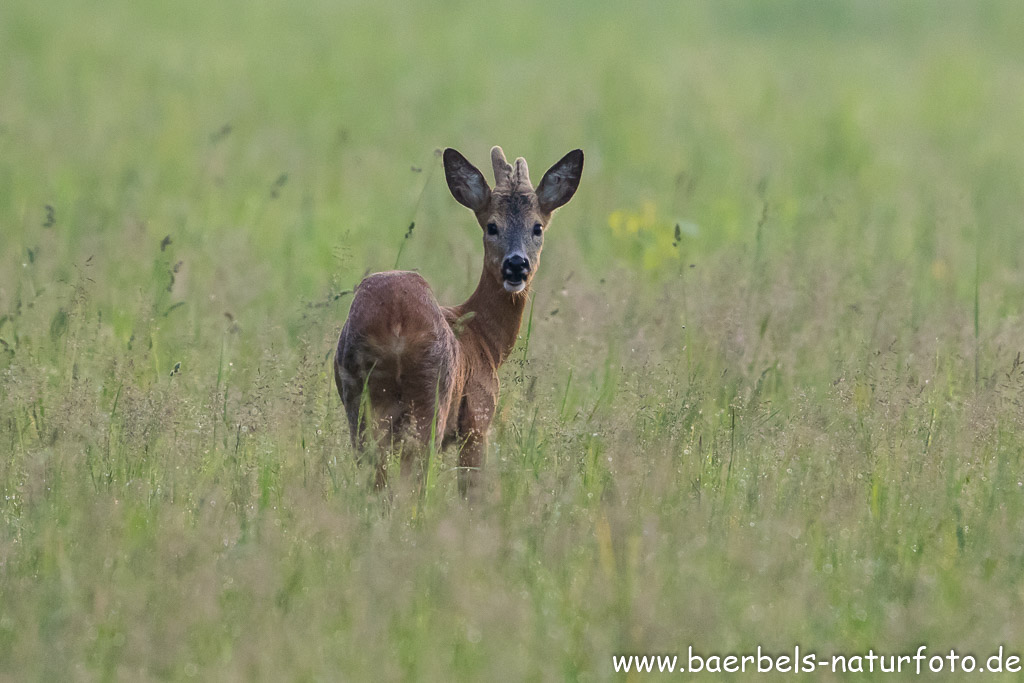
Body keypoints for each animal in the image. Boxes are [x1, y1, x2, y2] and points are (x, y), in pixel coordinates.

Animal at [335, 145, 585, 497]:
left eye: (537, 227)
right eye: (492, 226)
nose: (516, 265)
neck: (484, 341)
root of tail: (395, 321)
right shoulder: (479, 414)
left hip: (357, 396)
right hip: (431, 390)